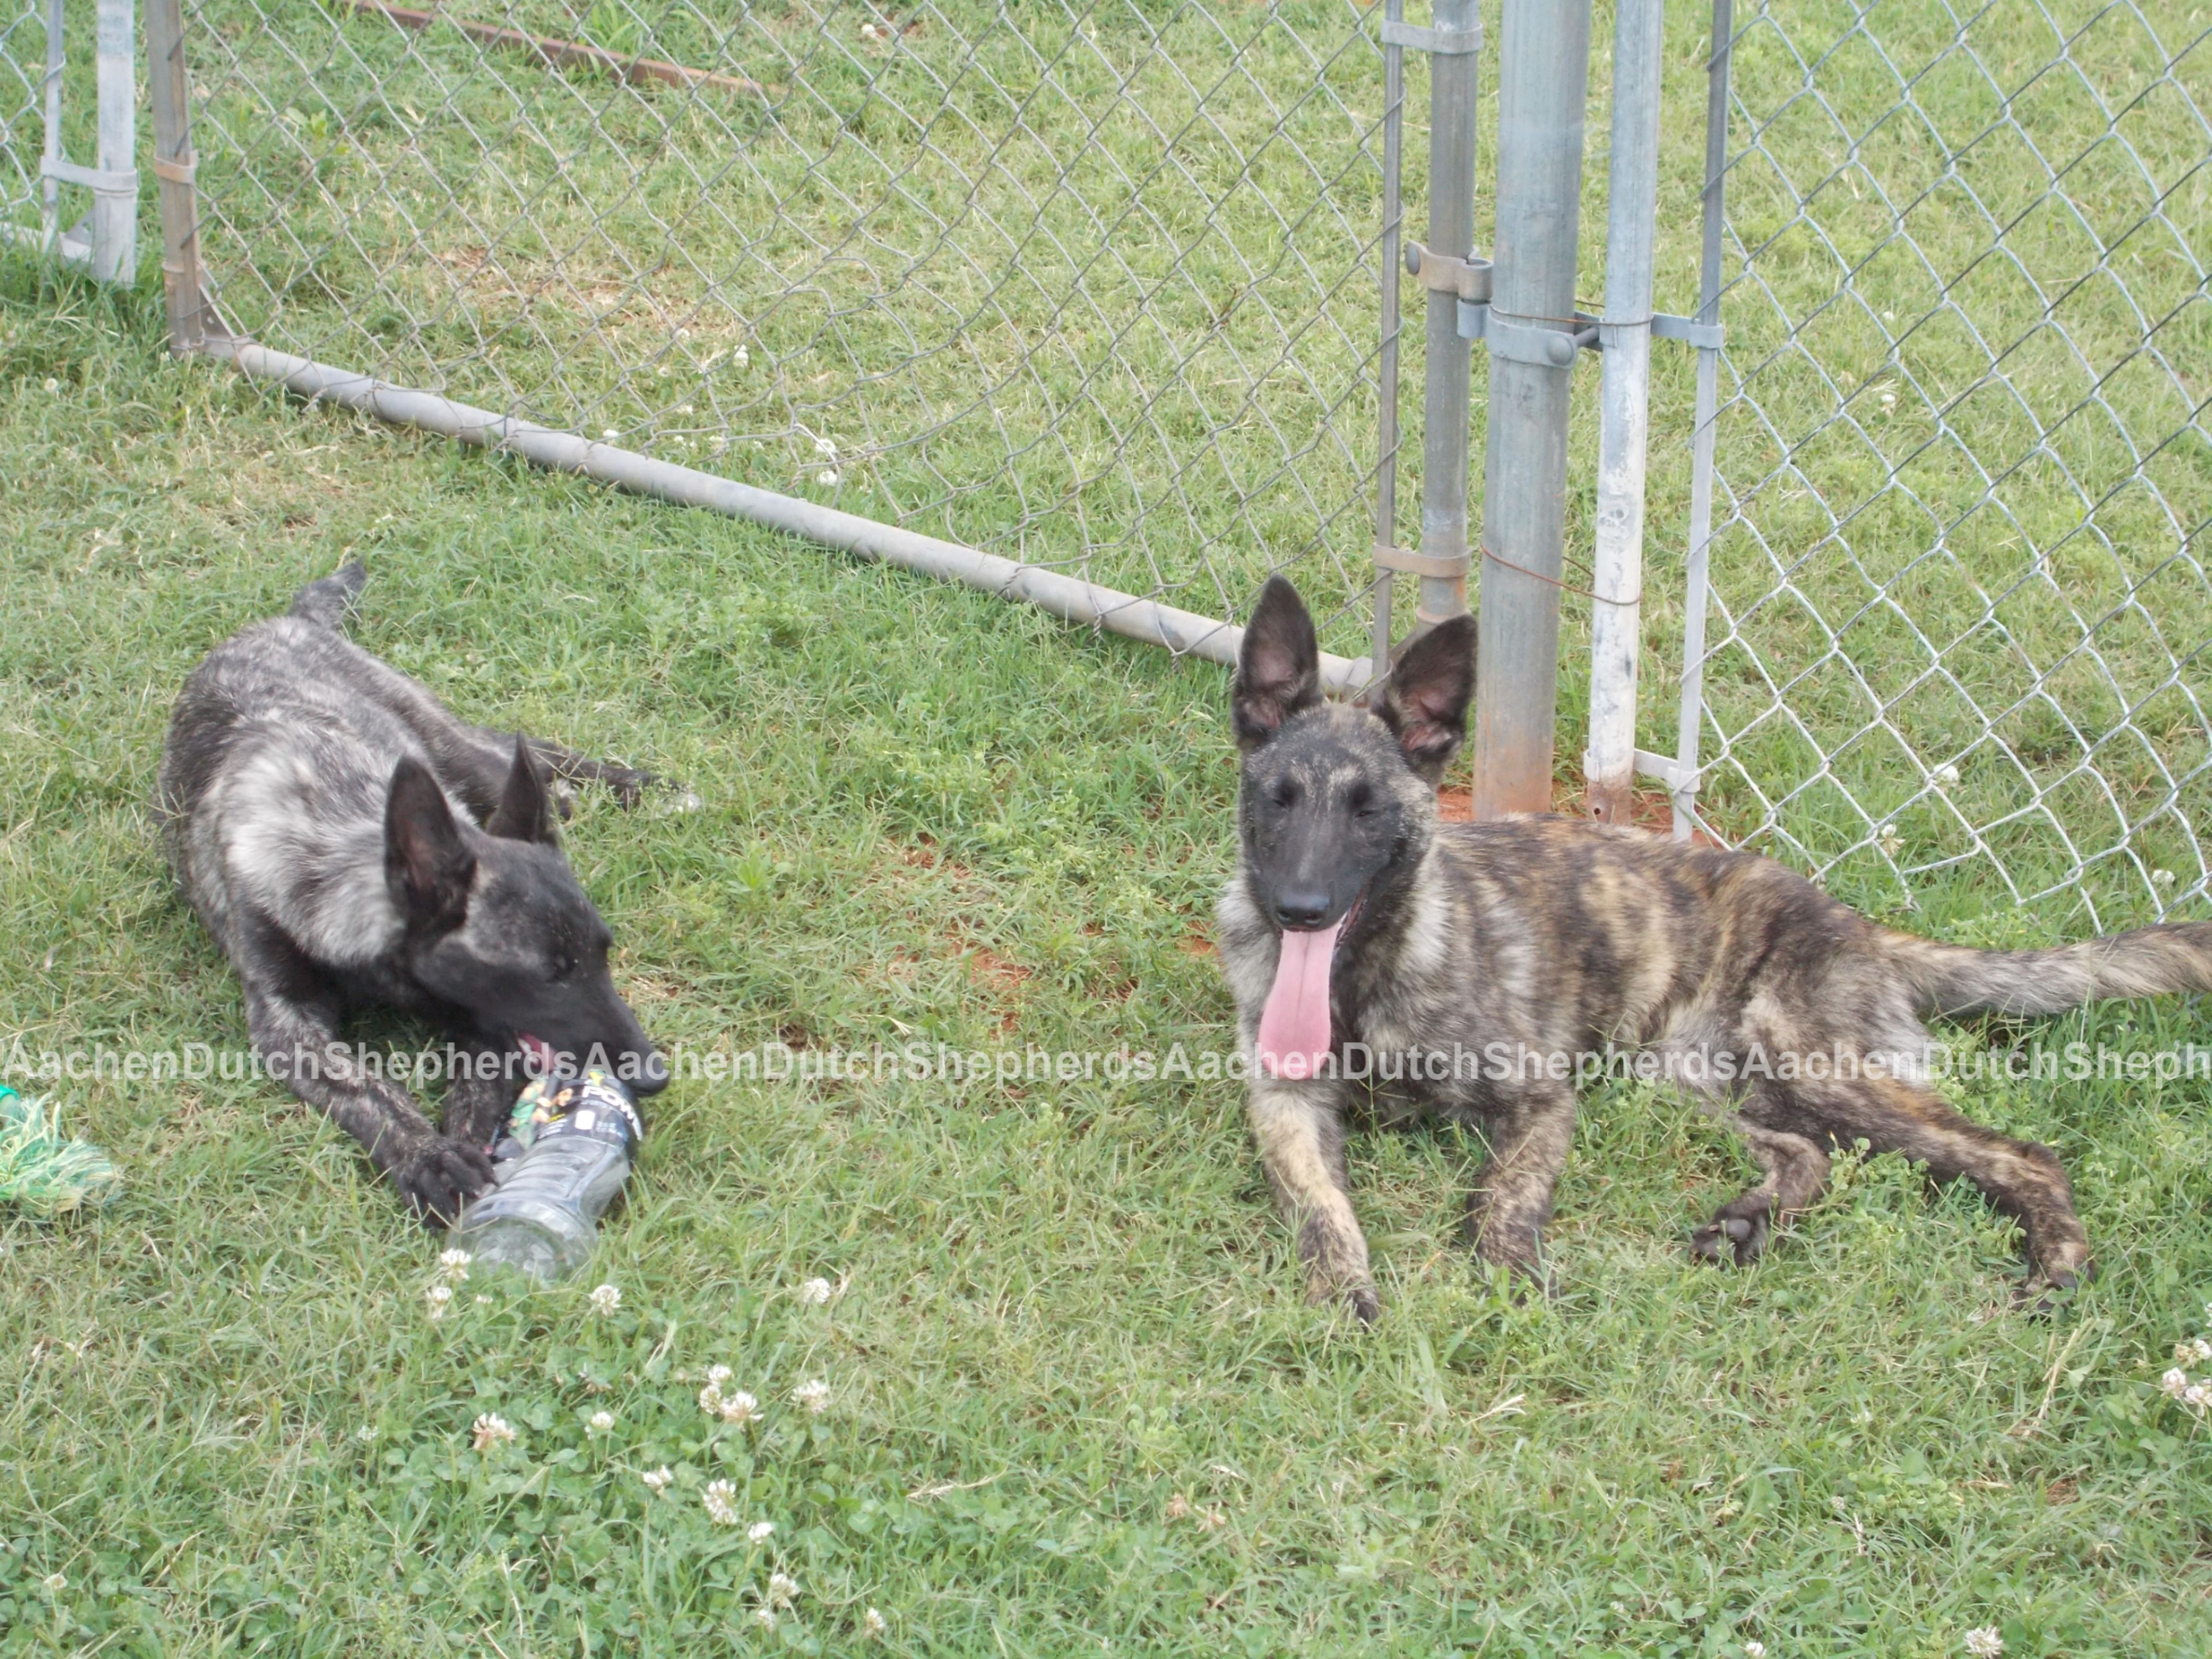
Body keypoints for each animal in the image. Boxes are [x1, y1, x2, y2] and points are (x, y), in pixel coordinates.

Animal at [161, 566, 663, 1230]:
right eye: (551, 976)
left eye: (604, 954)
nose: (655, 1075)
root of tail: (284, 623)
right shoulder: (285, 1021)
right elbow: (366, 1090)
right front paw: (429, 1156)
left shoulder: (487, 1021)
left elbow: (477, 1081)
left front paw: (474, 1144)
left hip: (452, 747)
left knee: (522, 749)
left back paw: (639, 786)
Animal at [1212, 575, 2212, 1327]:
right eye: (1277, 798)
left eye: (1367, 809)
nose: (1299, 910)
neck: (1366, 978)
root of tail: (1856, 924)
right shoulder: (1285, 1104)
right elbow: (1320, 1206)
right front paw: (1341, 1291)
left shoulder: (1540, 1097)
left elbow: (1502, 1193)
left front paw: (1506, 1274)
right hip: (1686, 1081)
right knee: (1806, 1155)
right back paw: (1748, 1225)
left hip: (1812, 1065)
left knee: (2020, 1155)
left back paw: (2056, 1266)